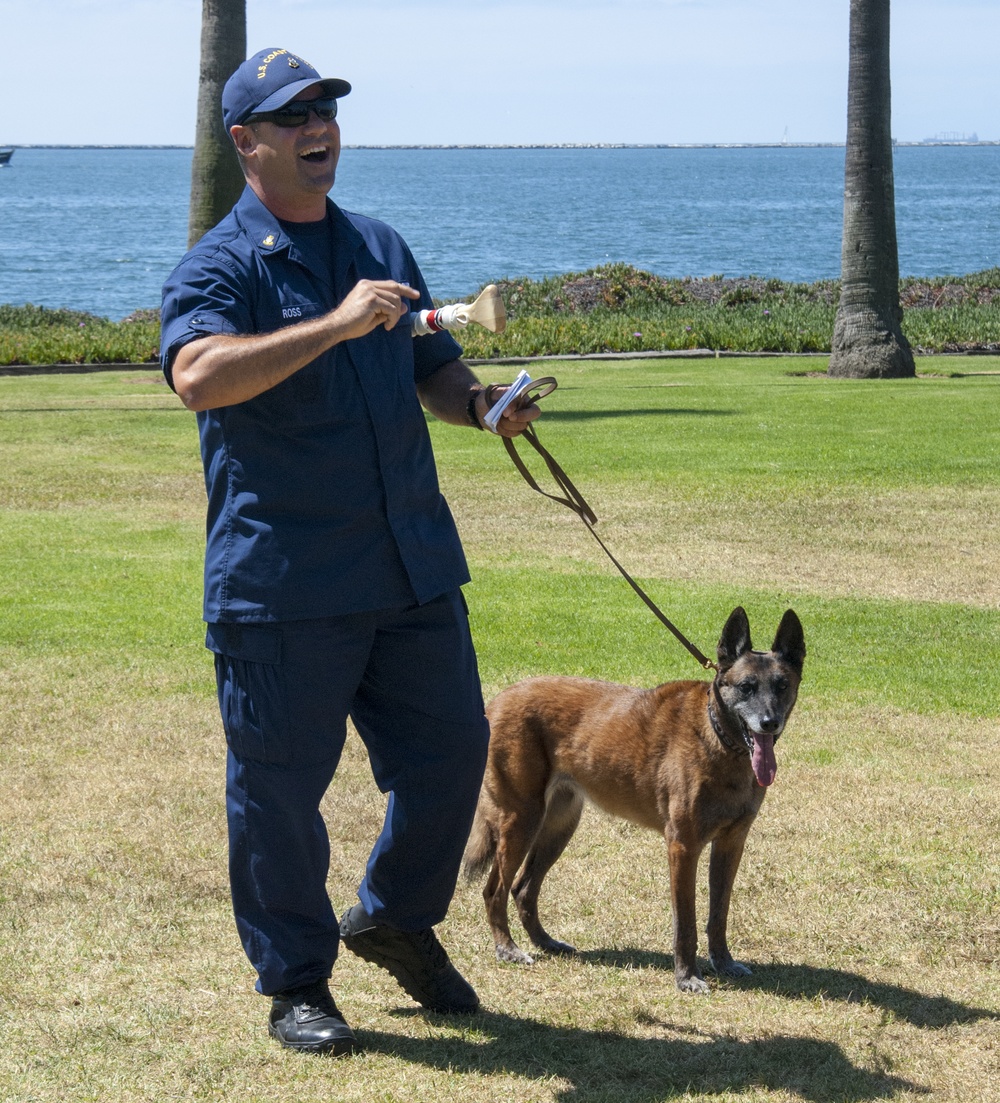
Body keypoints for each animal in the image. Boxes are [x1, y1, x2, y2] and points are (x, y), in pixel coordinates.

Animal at [467, 608, 807, 997]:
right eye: (746, 687)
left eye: (781, 686)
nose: (769, 723)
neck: (719, 737)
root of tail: (498, 699)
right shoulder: (683, 846)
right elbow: (685, 922)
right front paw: (686, 976)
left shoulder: (730, 845)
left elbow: (718, 914)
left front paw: (723, 962)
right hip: (521, 820)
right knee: (494, 890)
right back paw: (507, 949)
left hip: (557, 826)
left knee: (523, 889)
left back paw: (546, 943)